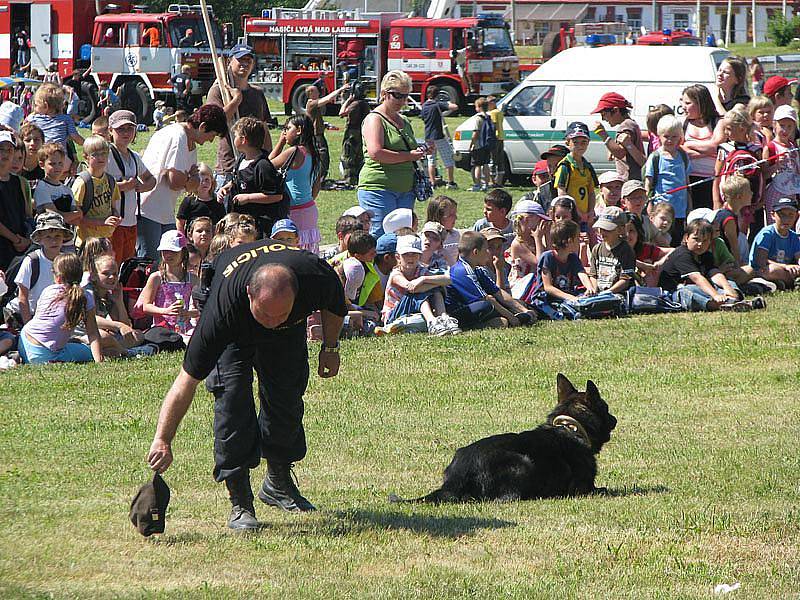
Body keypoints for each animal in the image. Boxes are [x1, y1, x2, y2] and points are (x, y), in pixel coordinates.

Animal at [390, 372, 616, 504]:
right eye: (605, 408)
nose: (615, 419)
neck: (571, 428)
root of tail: (454, 480)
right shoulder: (583, 489)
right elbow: (601, 489)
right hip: (522, 463)